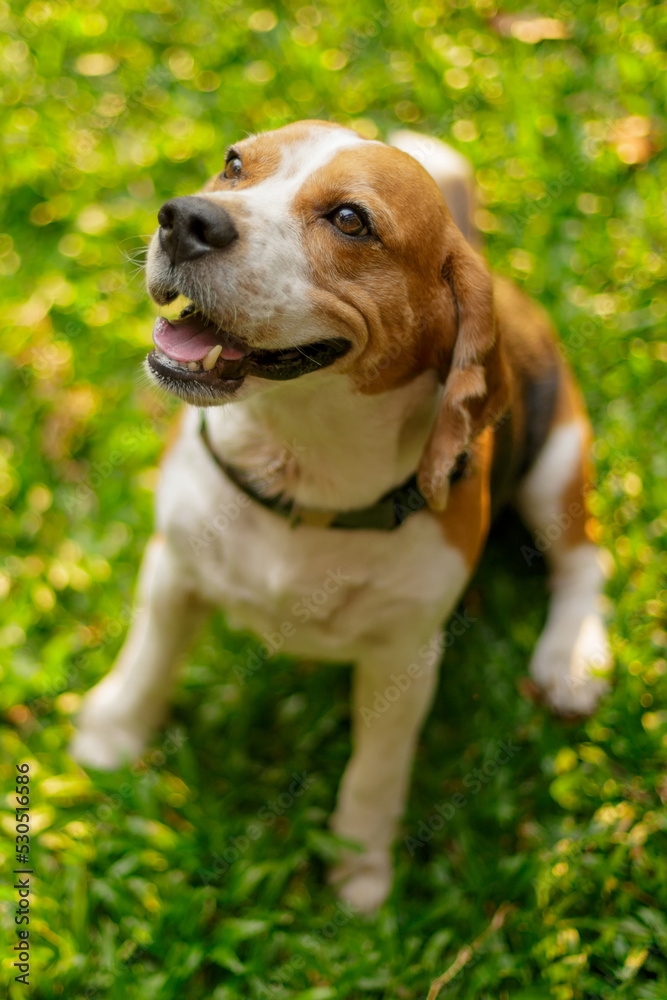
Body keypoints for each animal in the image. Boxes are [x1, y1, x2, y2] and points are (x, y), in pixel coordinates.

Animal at [70, 121, 612, 912]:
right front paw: (112, 735)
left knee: (584, 562)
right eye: (234, 164)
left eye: (351, 220)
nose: (184, 219)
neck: (299, 466)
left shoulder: (404, 657)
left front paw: (359, 873)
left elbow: (375, 772)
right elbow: (150, 655)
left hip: (557, 464)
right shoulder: (174, 564)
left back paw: (571, 657)